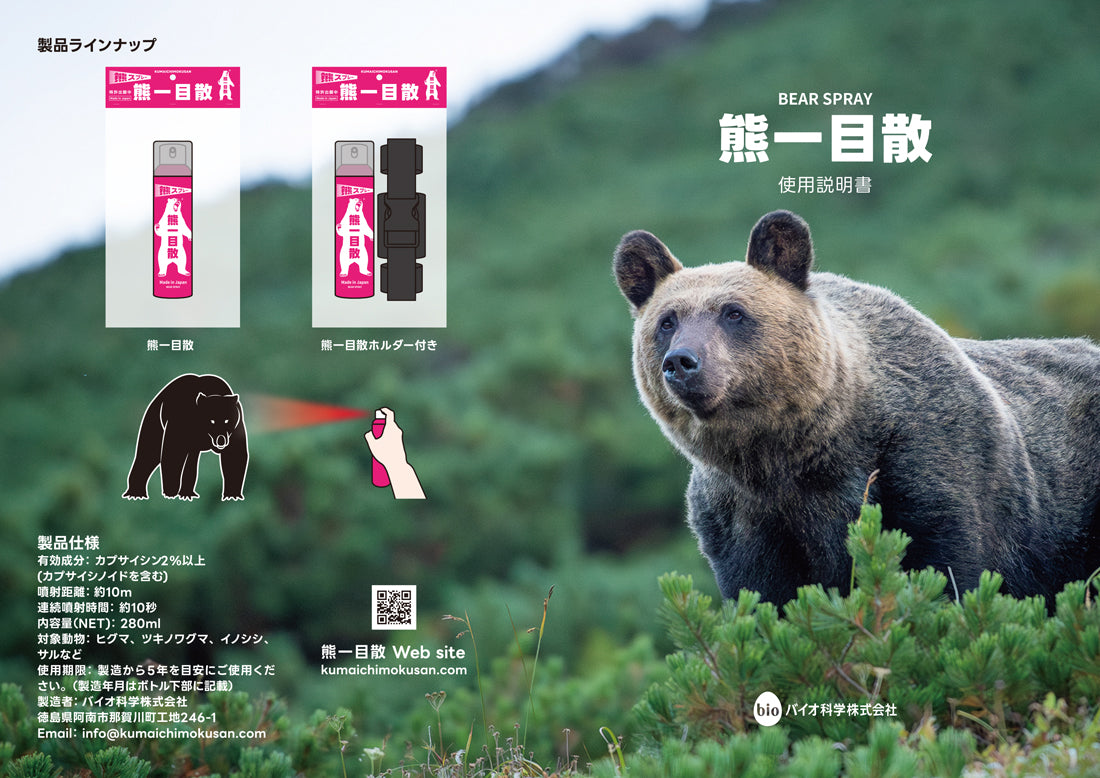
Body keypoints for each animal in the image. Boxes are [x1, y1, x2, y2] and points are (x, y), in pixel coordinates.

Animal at [614, 210, 1100, 605]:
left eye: (733, 312)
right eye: (667, 321)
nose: (681, 361)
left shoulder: (929, 466)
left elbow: (947, 570)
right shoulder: (741, 515)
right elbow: (764, 594)